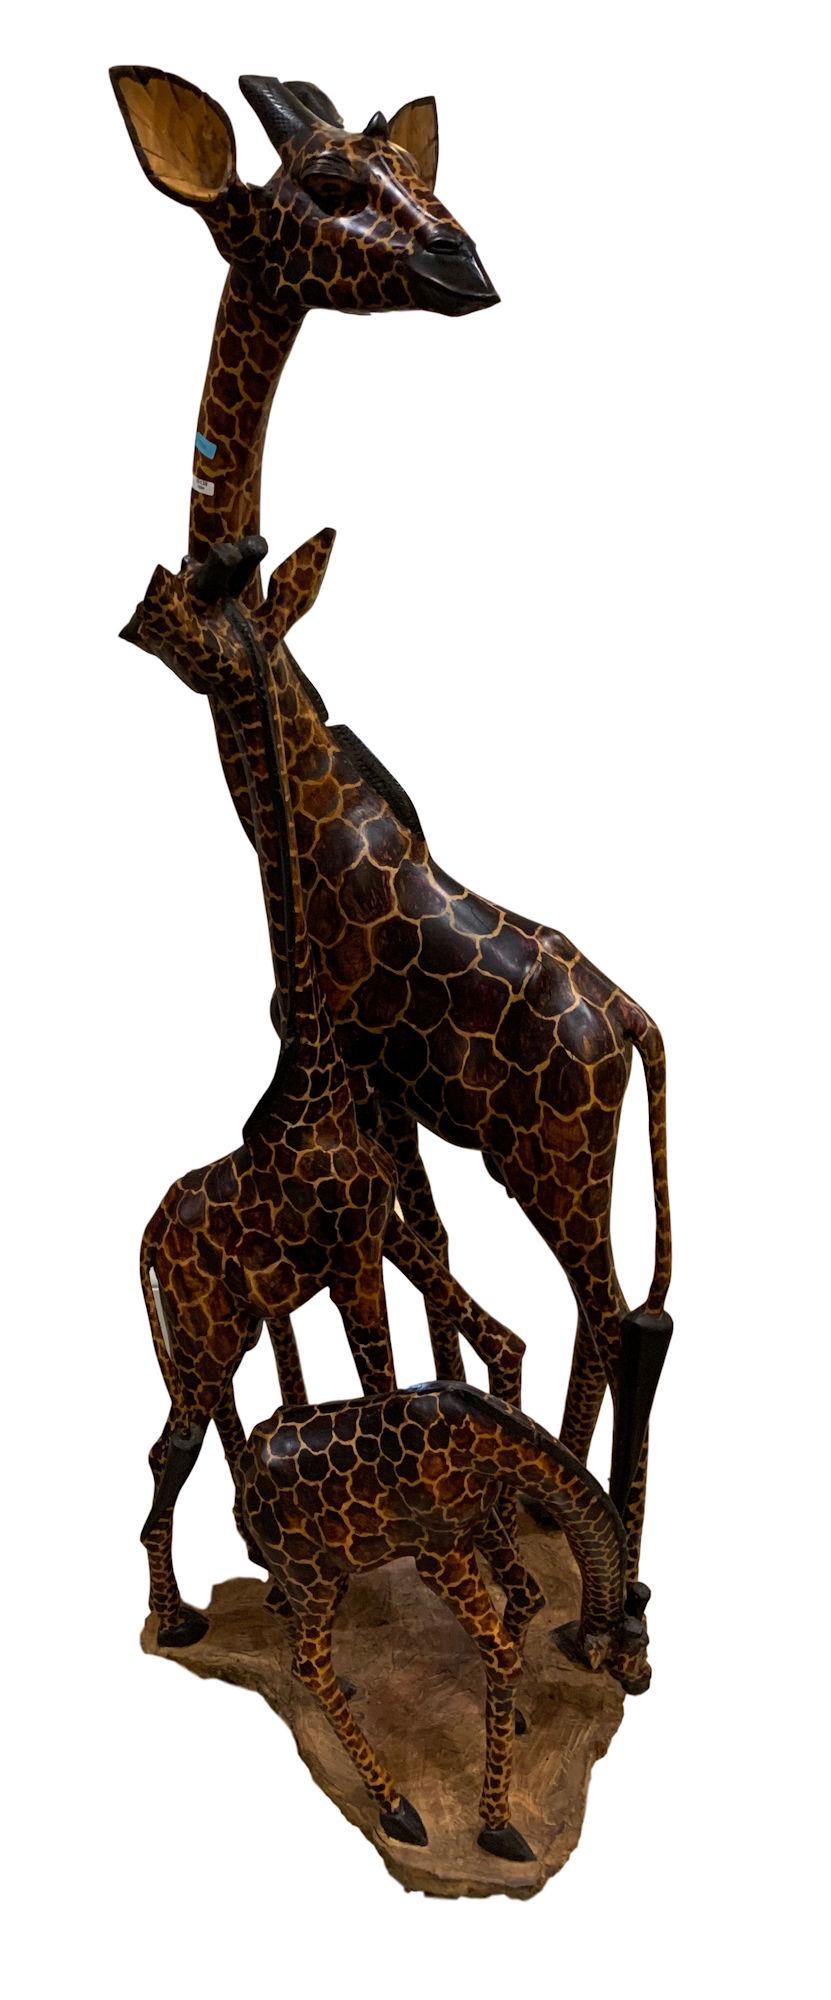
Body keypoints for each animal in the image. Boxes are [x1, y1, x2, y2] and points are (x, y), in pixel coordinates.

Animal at [122, 533, 525, 1646]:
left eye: (202, 598)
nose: (133, 621)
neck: (309, 1076)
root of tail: (147, 1235)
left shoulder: (362, 1245)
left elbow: (405, 1374)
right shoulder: (350, 1256)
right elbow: (386, 1386)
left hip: (224, 1326)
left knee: (196, 1432)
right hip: (207, 1324)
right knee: (169, 1444)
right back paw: (176, 1616)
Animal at [240, 1381, 651, 1859]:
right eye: (631, 1648)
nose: (645, 1680)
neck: (483, 1439)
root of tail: (246, 1466)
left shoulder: (481, 1522)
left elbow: (528, 1597)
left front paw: (510, 1719)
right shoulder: (439, 1555)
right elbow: (503, 1656)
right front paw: (497, 1827)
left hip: (317, 1569)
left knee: (283, 1619)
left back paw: (342, 1684)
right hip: (309, 1572)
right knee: (310, 1663)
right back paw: (398, 1810)